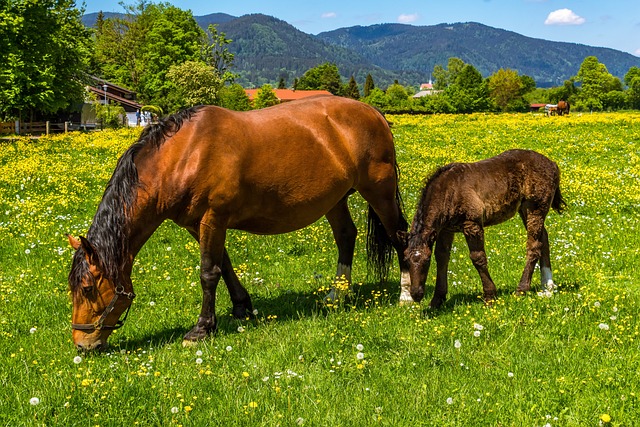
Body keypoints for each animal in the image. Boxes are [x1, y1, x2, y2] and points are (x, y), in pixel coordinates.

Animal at [69, 97, 410, 352]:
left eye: (87, 288)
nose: (82, 344)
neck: (183, 154)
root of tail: (373, 112)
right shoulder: (198, 224)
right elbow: (225, 265)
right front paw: (242, 307)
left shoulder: (213, 218)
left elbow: (209, 273)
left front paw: (202, 329)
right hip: (335, 200)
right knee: (346, 236)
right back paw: (337, 295)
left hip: (379, 192)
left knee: (400, 237)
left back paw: (406, 294)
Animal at [400, 150, 564, 308]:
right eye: (405, 260)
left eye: (426, 261)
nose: (416, 294)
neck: (448, 191)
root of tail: (553, 164)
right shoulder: (446, 230)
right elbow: (442, 257)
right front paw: (437, 300)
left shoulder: (472, 224)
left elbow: (478, 257)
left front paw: (490, 296)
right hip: (524, 209)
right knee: (544, 238)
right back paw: (547, 287)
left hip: (535, 207)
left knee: (534, 246)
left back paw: (522, 289)